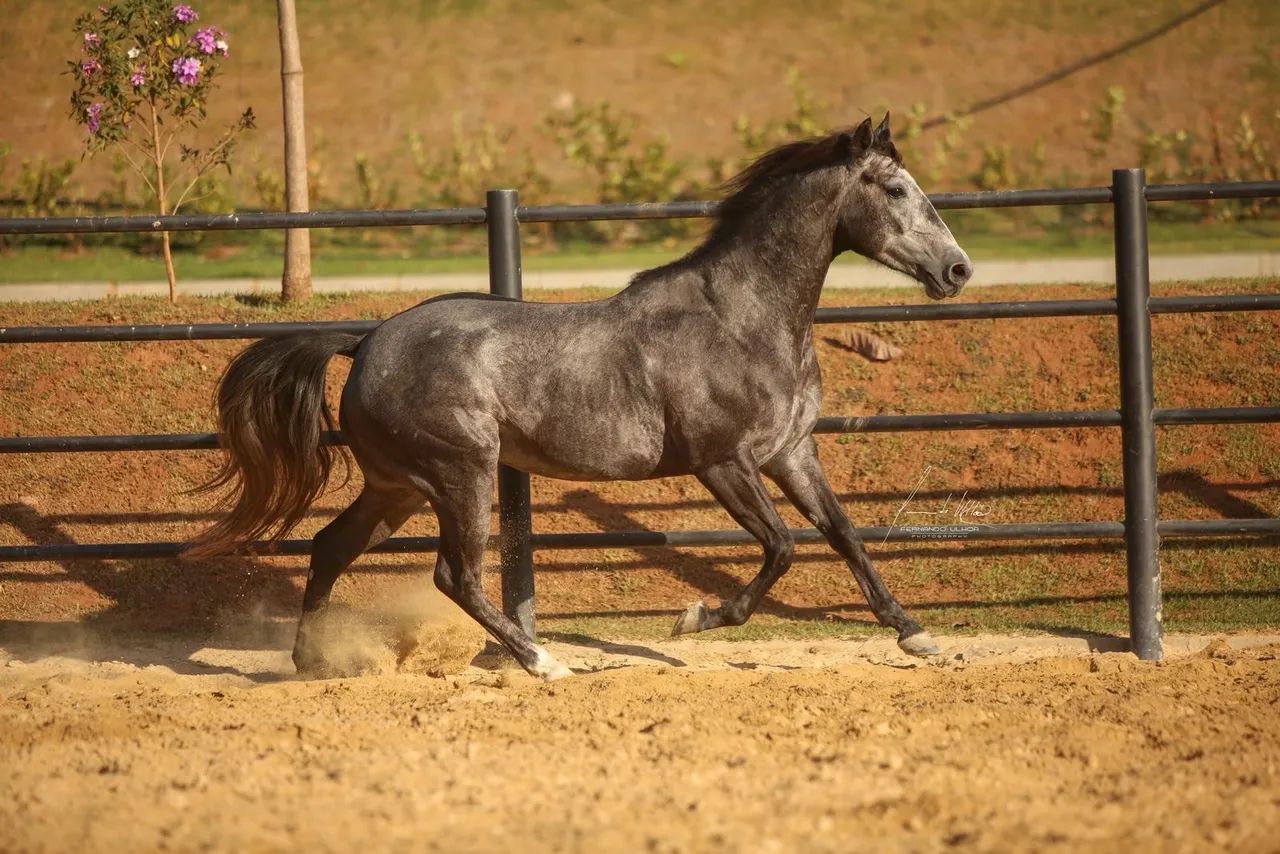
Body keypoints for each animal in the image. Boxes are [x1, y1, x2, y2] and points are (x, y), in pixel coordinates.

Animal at [187, 114, 972, 682]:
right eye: (896, 191)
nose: (958, 270)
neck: (743, 317)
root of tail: (367, 340)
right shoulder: (723, 462)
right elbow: (782, 547)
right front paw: (695, 618)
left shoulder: (791, 453)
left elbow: (843, 534)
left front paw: (914, 634)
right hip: (459, 474)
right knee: (456, 576)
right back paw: (544, 662)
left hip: (398, 487)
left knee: (330, 548)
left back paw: (315, 663)